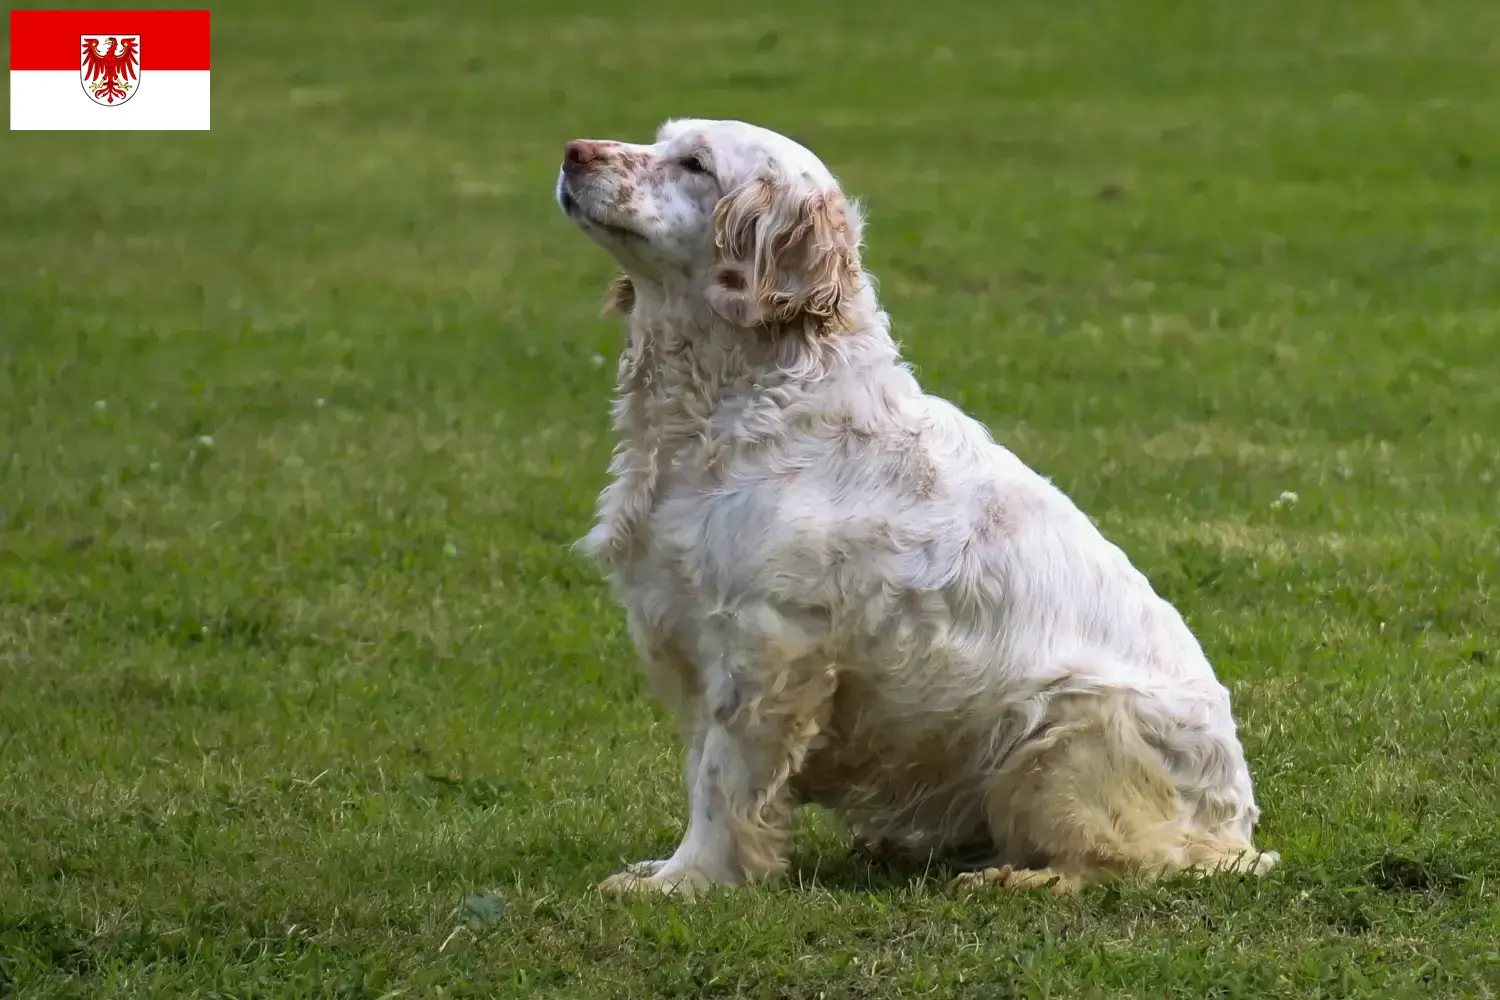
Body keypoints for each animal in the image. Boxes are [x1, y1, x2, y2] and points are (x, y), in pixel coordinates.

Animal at [552, 119, 1278, 899]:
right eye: (658, 140)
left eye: (695, 163)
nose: (573, 151)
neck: (738, 395)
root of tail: (1235, 828)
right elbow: (700, 769)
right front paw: (668, 868)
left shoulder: (767, 642)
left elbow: (722, 781)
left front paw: (688, 879)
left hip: (1063, 730)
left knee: (1118, 862)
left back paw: (1006, 878)